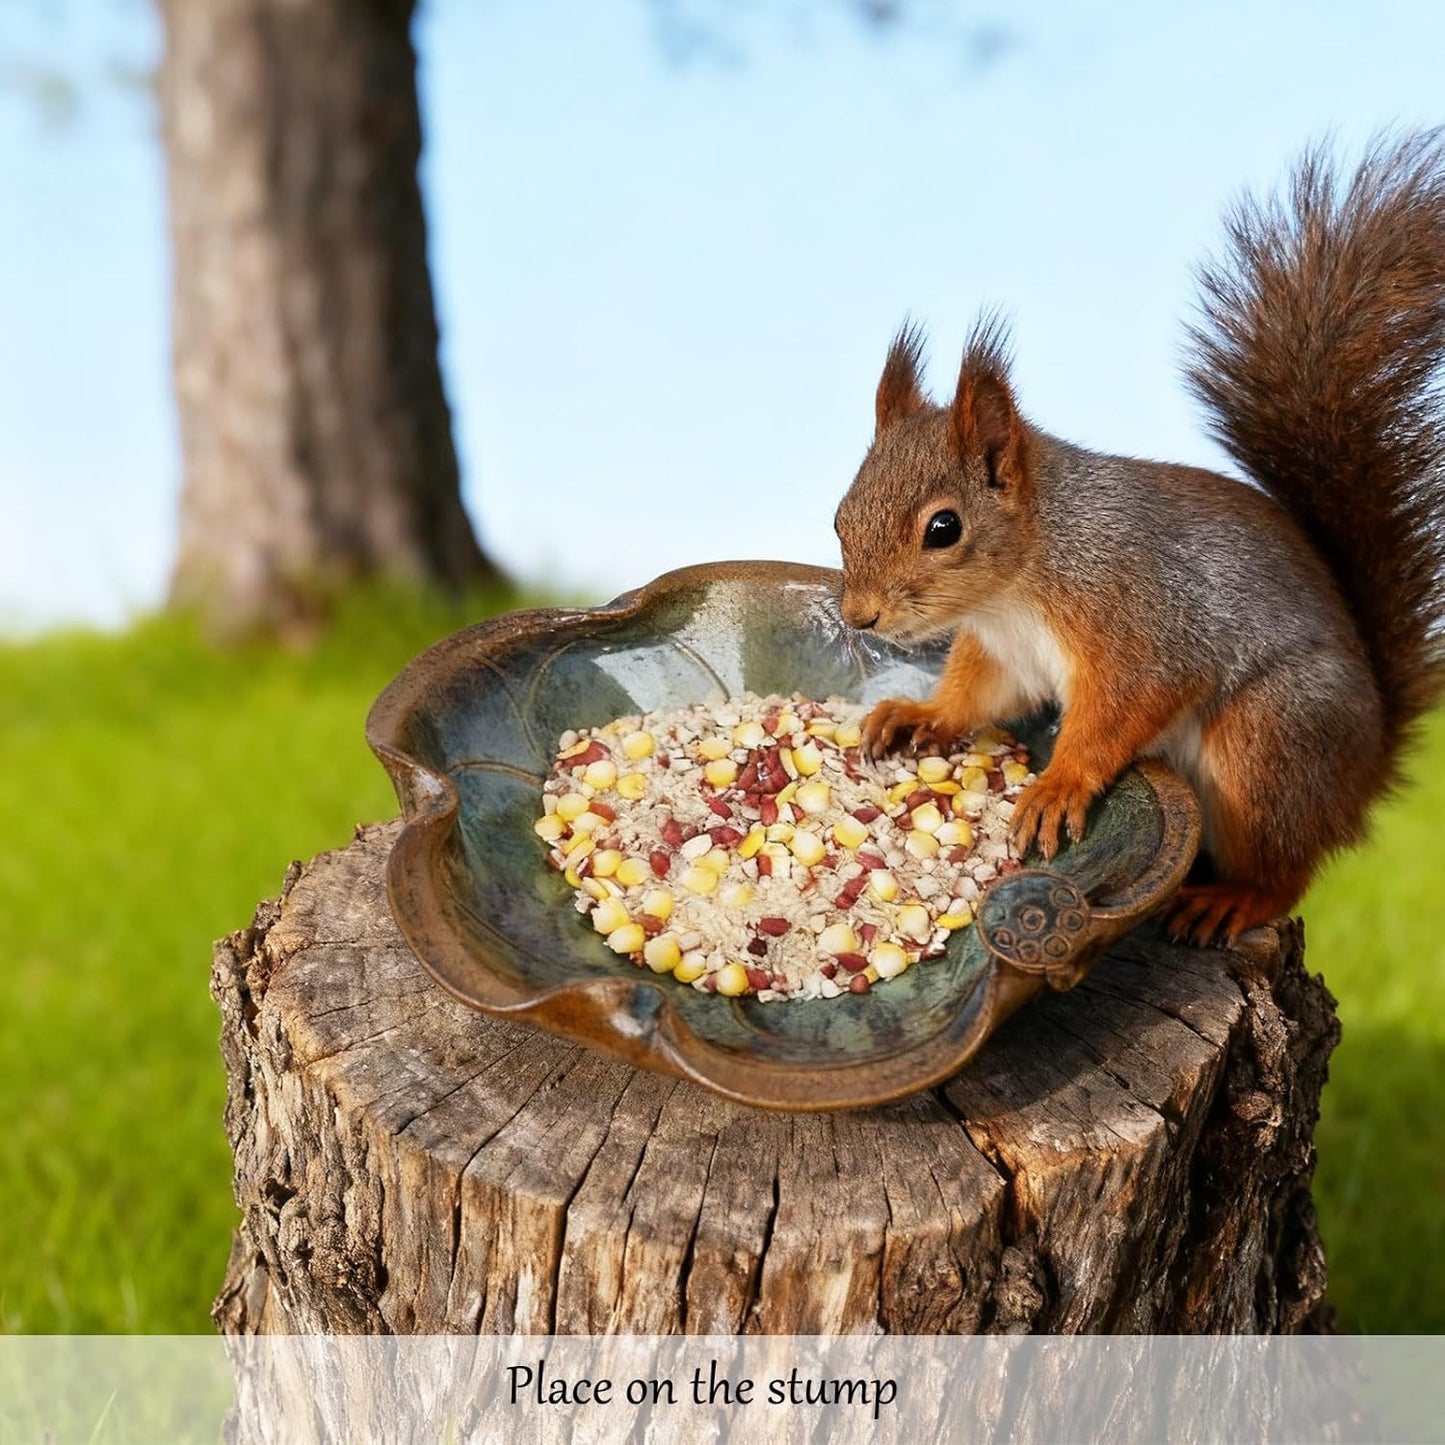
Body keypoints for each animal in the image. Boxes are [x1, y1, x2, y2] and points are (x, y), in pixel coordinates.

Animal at [833, 131, 1445, 943]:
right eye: (840, 514)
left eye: (943, 527)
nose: (859, 616)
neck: (1022, 579)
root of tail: (1367, 766)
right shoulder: (1003, 652)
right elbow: (976, 695)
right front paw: (920, 715)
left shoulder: (1140, 622)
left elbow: (1120, 710)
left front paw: (1059, 782)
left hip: (1272, 738)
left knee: (1286, 869)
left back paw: (1234, 898)